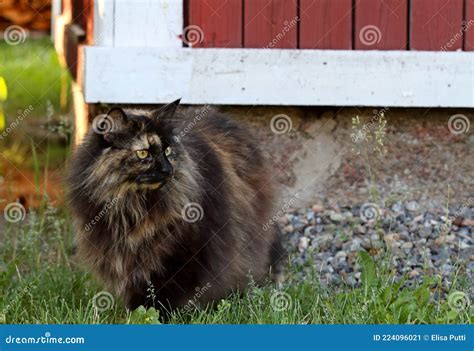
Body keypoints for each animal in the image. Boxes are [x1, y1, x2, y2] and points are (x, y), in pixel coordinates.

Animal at [65, 100, 284, 318]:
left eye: (168, 151)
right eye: (143, 153)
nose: (167, 169)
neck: (134, 207)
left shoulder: (183, 253)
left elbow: (168, 292)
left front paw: (160, 316)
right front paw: (136, 315)